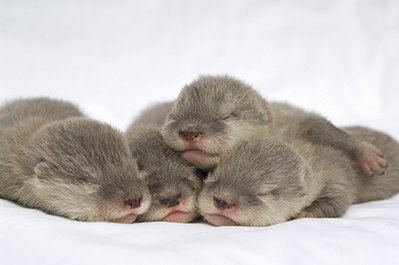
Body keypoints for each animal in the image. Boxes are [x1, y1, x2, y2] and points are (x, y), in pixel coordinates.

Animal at [162, 74, 388, 175]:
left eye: (226, 116)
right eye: (174, 116)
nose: (190, 132)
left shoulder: (294, 121)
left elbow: (321, 126)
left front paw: (365, 152)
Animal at [199, 126, 399, 225]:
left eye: (263, 193)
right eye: (214, 175)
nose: (222, 201)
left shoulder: (338, 176)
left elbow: (338, 201)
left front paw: (306, 213)